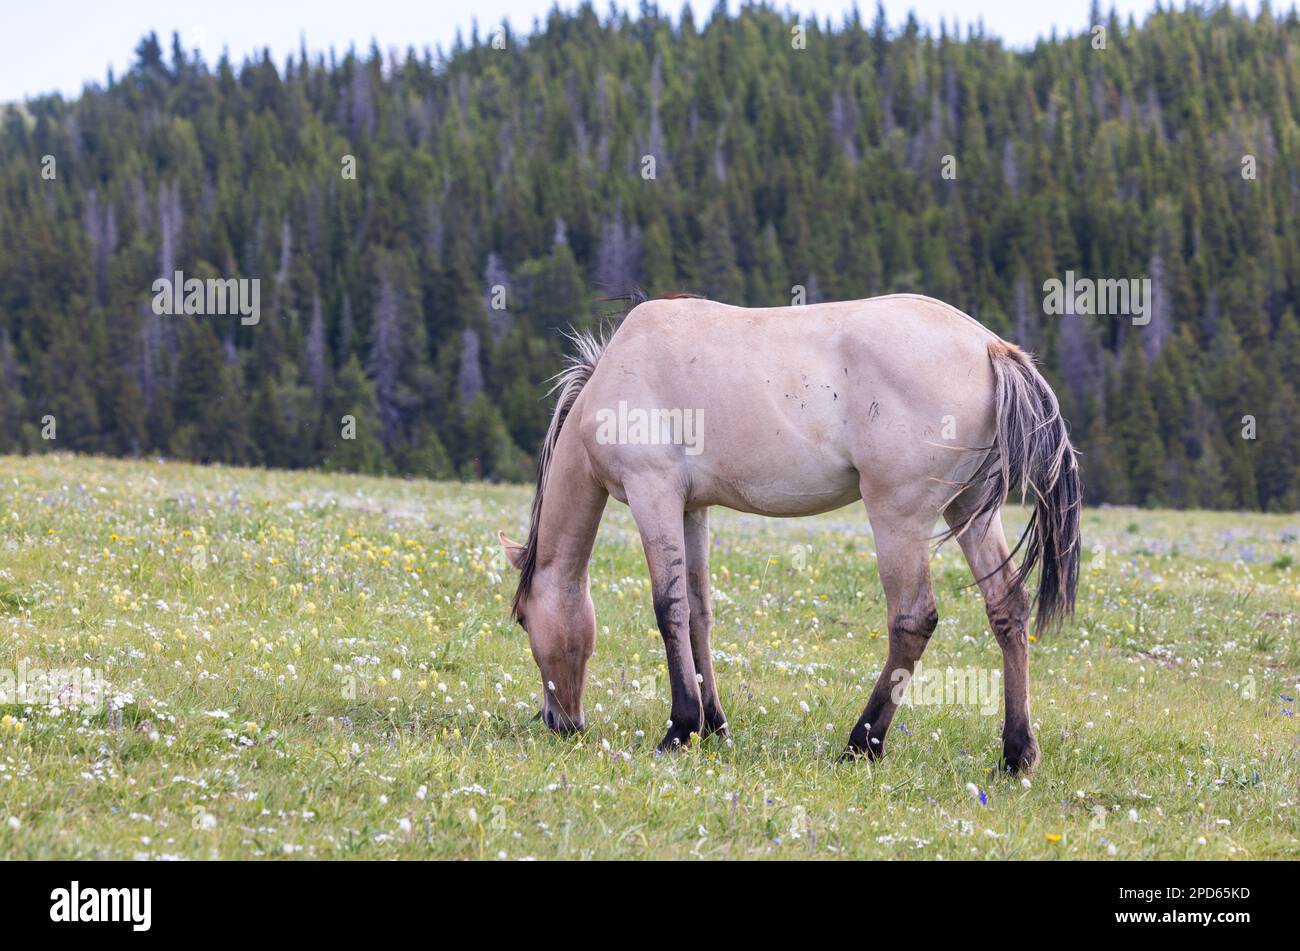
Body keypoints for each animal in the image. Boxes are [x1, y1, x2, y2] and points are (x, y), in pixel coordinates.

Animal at [496, 294, 1076, 774]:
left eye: (524, 620)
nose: (559, 723)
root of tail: (989, 346)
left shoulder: (652, 492)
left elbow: (669, 608)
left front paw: (680, 729)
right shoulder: (692, 508)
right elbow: (700, 613)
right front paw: (714, 725)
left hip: (900, 516)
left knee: (913, 620)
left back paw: (861, 744)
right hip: (971, 509)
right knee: (1007, 607)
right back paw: (1016, 753)